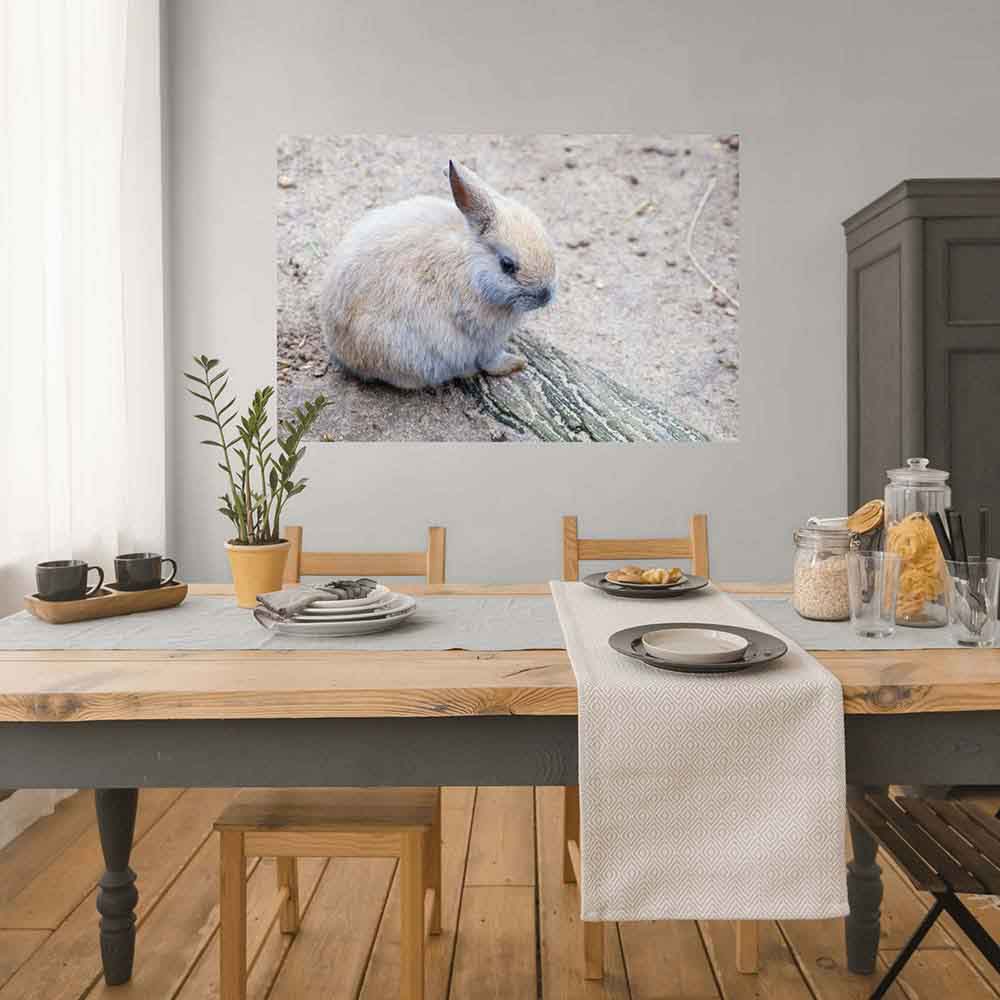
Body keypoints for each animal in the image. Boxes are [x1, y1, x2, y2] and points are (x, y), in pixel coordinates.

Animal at [320, 160, 557, 390]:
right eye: (507, 265)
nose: (545, 296)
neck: (472, 267)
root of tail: (343, 353)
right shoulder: (485, 339)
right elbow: (490, 361)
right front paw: (516, 363)